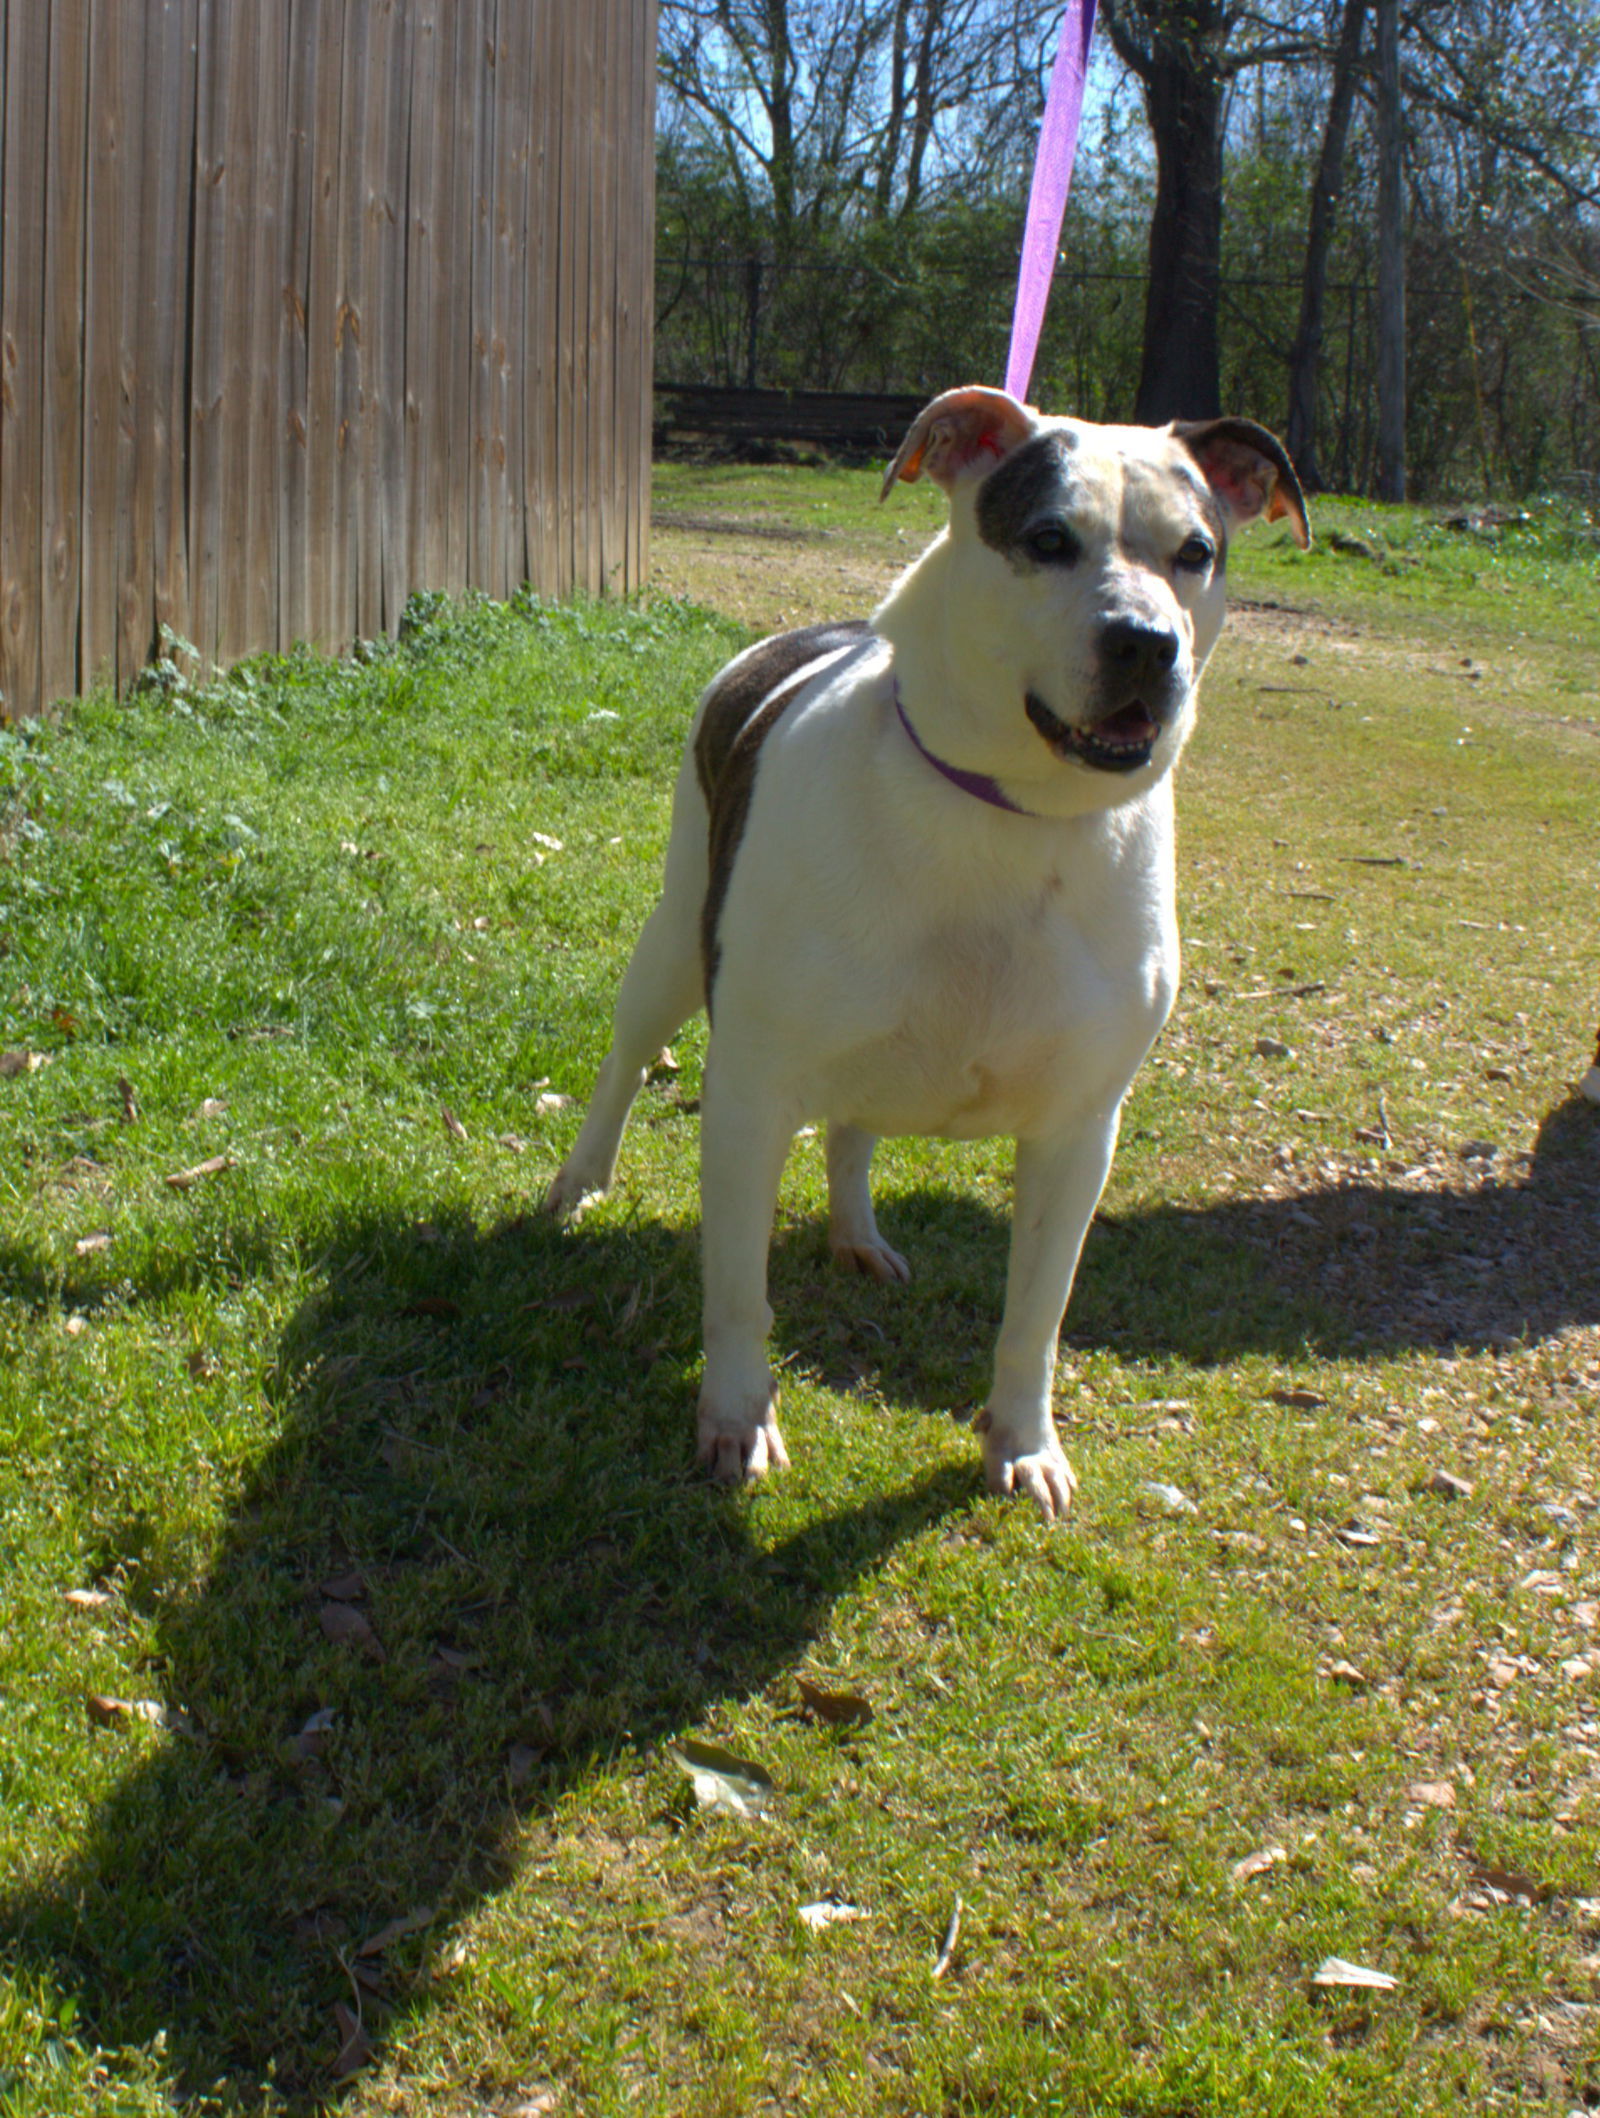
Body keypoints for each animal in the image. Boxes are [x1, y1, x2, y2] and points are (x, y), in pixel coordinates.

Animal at [542, 389, 1305, 1516]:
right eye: (1048, 538)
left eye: (1196, 552)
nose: (1144, 643)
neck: (1013, 813)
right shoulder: (749, 1099)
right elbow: (736, 1291)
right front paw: (736, 1416)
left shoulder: (1079, 1134)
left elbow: (1035, 1315)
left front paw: (1023, 1442)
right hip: (673, 944)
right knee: (628, 1061)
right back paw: (582, 1177)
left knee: (854, 1132)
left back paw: (856, 1233)